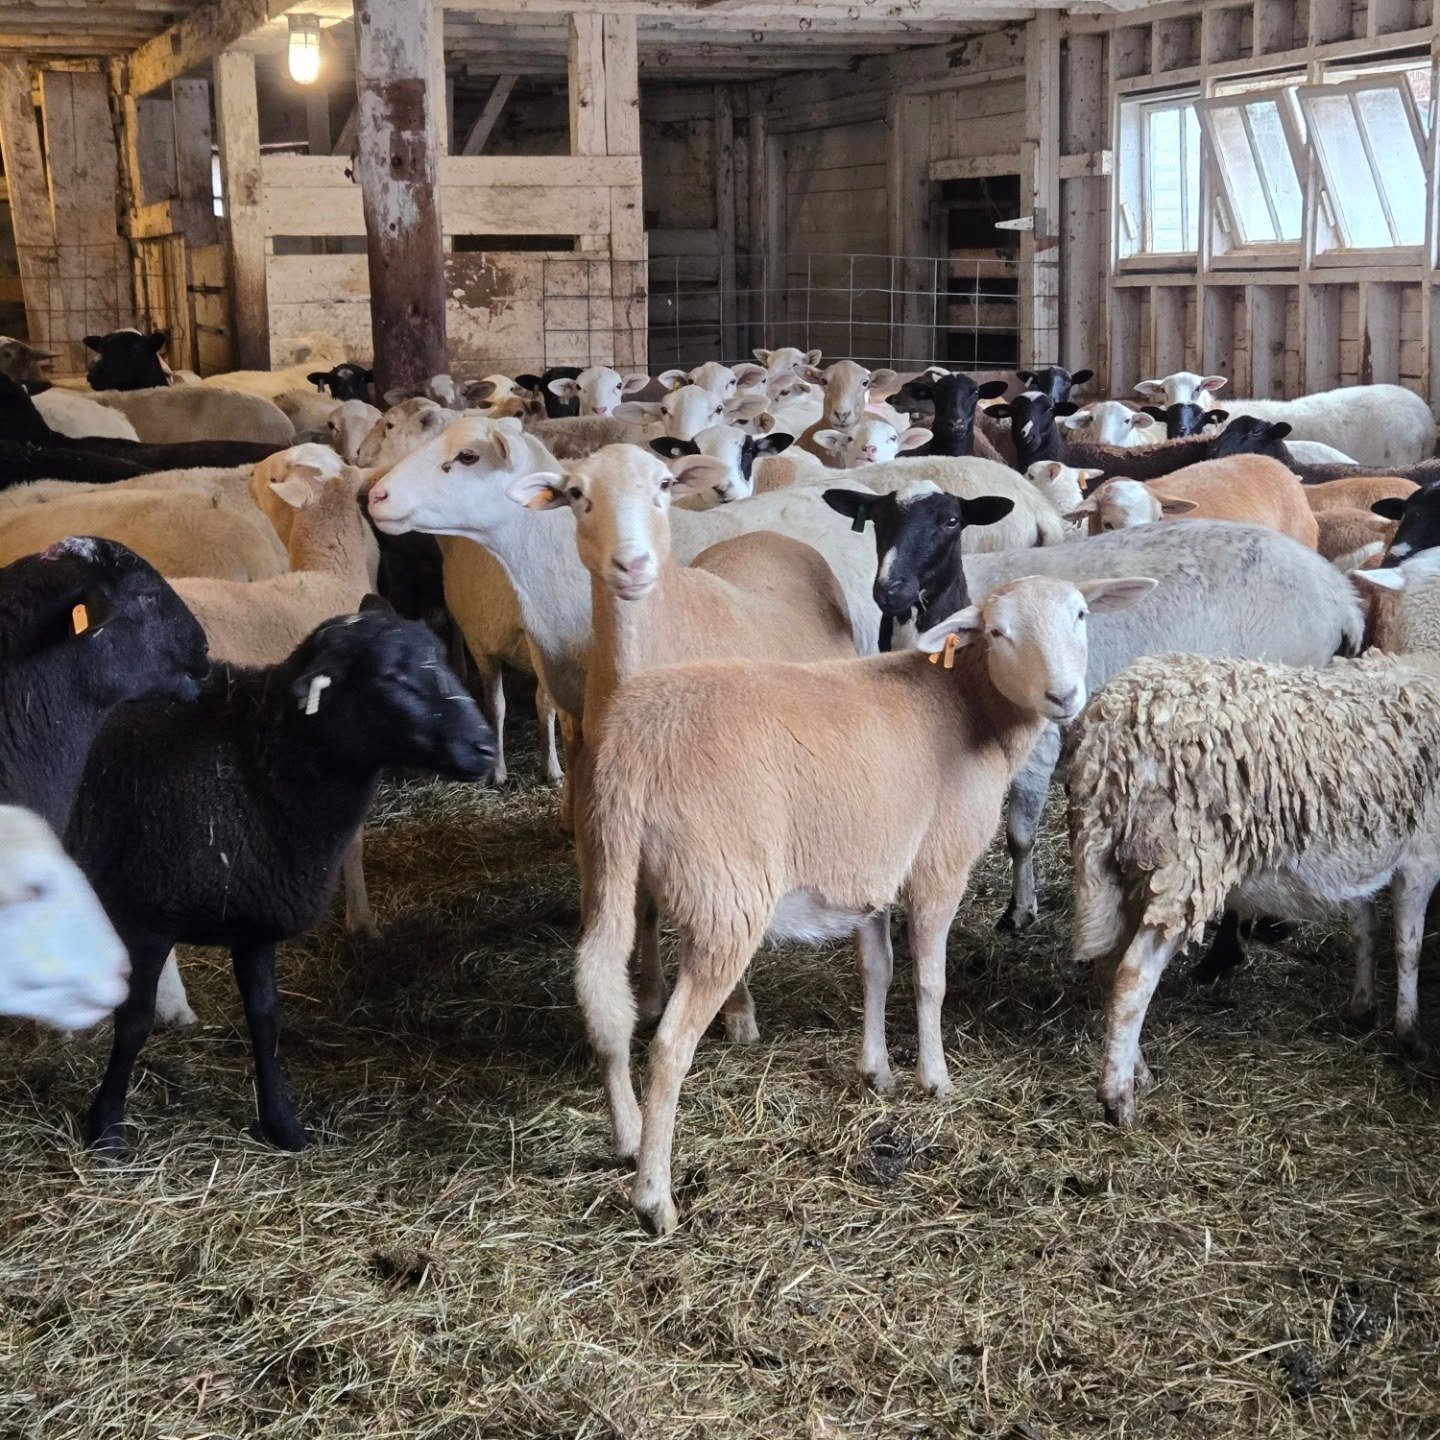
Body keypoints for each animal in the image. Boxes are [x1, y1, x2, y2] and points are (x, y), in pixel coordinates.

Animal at [69, 607, 496, 1154]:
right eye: (390, 676)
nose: (486, 747)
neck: (251, 756)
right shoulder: (148, 915)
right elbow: (135, 1020)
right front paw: (106, 1127)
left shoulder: (255, 920)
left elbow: (265, 1018)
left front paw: (282, 1124)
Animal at [576, 572, 1153, 1233]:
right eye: (997, 631)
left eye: (1081, 614)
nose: (1063, 695)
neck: (972, 704)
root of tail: (633, 750)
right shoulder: (939, 863)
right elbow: (929, 981)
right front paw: (935, 1079)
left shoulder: (872, 870)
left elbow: (876, 970)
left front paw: (876, 1071)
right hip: (724, 895)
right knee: (670, 1046)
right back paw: (654, 1198)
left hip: (606, 867)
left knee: (605, 1006)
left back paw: (625, 1138)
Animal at [842, 509, 1366, 932]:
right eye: (879, 522)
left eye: (950, 523)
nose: (891, 592)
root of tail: (1341, 595)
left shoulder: (1038, 750)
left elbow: (1019, 835)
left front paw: (1019, 911)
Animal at [1070, 644, 1440, 1128]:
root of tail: (1107, 737)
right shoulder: (1422, 856)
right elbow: (1407, 947)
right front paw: (1410, 1030)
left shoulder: (1356, 864)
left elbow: (1366, 930)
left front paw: (1363, 1008)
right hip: (1184, 867)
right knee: (1133, 977)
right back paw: (1119, 1100)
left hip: (1128, 869)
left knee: (1110, 969)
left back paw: (1139, 1072)